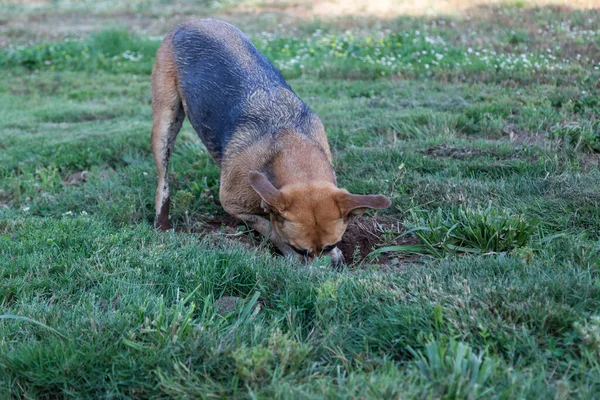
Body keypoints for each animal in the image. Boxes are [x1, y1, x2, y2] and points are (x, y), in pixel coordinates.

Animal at [152, 21, 392, 266]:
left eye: (331, 245)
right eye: (299, 249)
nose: (323, 270)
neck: (289, 143)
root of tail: (189, 23)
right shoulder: (232, 204)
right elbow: (270, 227)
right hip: (165, 124)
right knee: (163, 181)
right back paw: (162, 224)